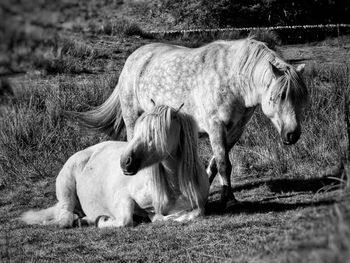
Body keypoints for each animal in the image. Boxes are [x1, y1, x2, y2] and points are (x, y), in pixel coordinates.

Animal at [69, 37, 308, 209]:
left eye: (300, 97)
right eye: (278, 97)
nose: (293, 134)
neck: (232, 80)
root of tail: (133, 58)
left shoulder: (234, 131)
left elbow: (215, 164)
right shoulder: (215, 127)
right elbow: (224, 164)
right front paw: (229, 199)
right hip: (132, 119)